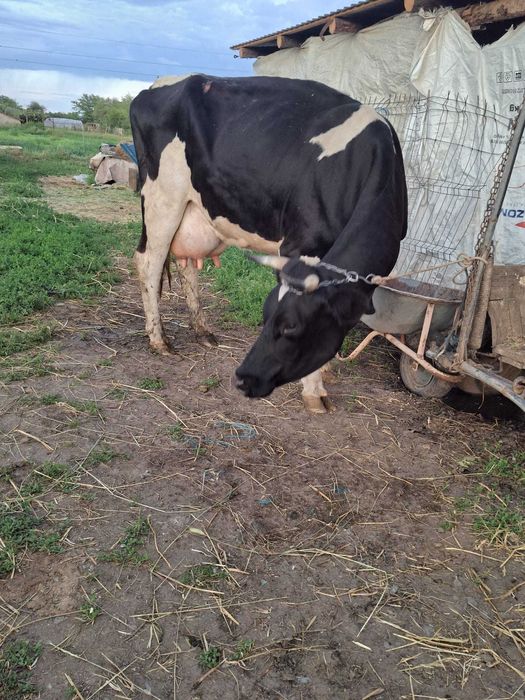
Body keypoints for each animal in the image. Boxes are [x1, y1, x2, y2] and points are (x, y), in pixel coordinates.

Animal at [130, 74, 407, 413]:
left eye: (290, 327)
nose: (243, 379)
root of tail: (157, 85)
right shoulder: (302, 243)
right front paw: (314, 390)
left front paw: (326, 369)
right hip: (162, 198)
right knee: (149, 262)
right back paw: (159, 340)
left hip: (196, 207)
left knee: (188, 267)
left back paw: (202, 330)